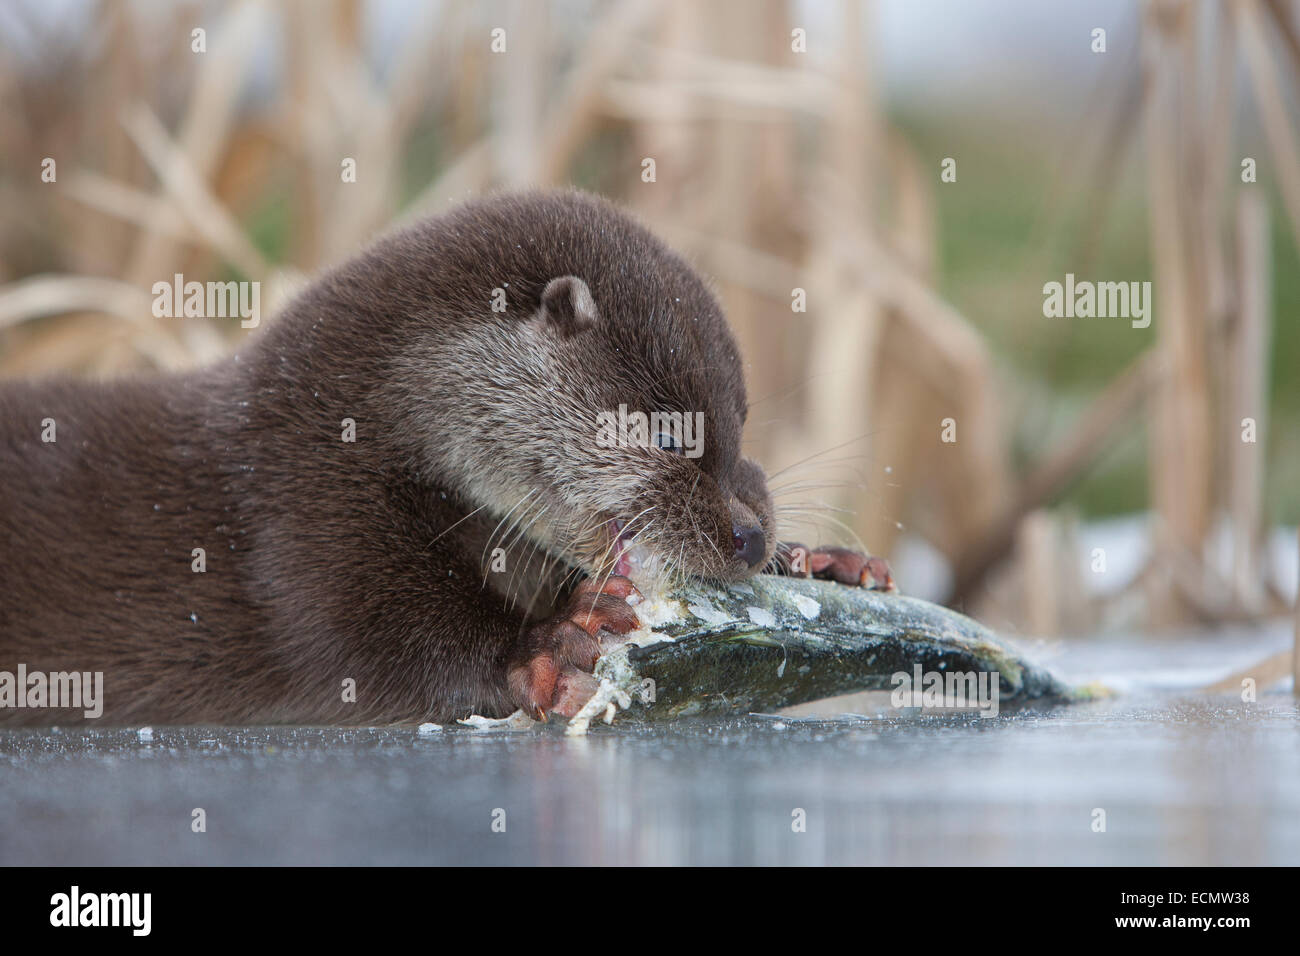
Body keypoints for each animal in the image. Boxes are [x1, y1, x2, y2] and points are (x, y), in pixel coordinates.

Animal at [0, 190, 892, 726]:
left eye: (742, 427)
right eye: (673, 434)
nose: (749, 535)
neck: (335, 425)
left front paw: (823, 561)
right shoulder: (297, 521)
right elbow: (365, 638)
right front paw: (546, 645)